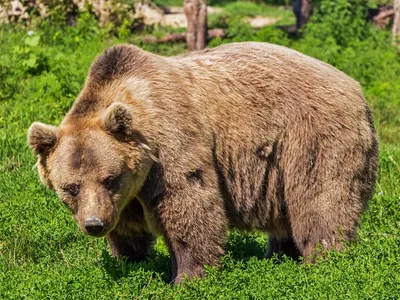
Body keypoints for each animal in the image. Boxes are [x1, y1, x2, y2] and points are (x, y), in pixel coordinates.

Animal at [27, 42, 378, 284]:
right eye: (71, 187)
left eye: (109, 178)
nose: (94, 225)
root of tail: (356, 87)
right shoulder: (126, 194)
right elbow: (128, 228)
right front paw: (132, 261)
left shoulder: (170, 145)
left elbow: (190, 206)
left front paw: (187, 277)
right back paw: (279, 256)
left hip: (312, 136)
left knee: (320, 200)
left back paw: (324, 261)